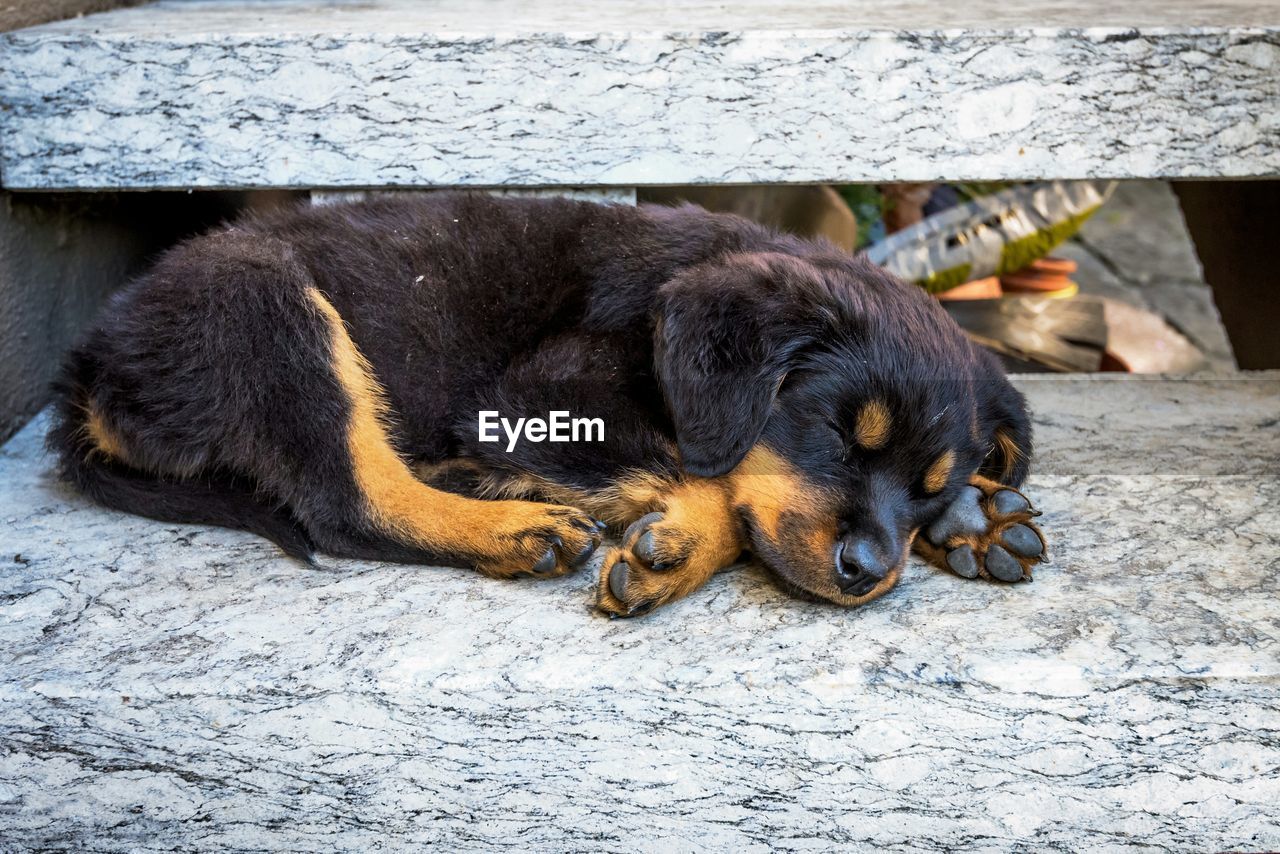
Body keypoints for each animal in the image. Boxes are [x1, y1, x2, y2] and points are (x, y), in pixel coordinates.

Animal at [52, 193, 1049, 617]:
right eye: (837, 435)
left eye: (925, 485)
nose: (867, 572)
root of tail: (92, 369)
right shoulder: (537, 392)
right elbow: (719, 478)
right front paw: (676, 549)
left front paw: (972, 515)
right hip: (267, 305)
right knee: (345, 503)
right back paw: (513, 526)